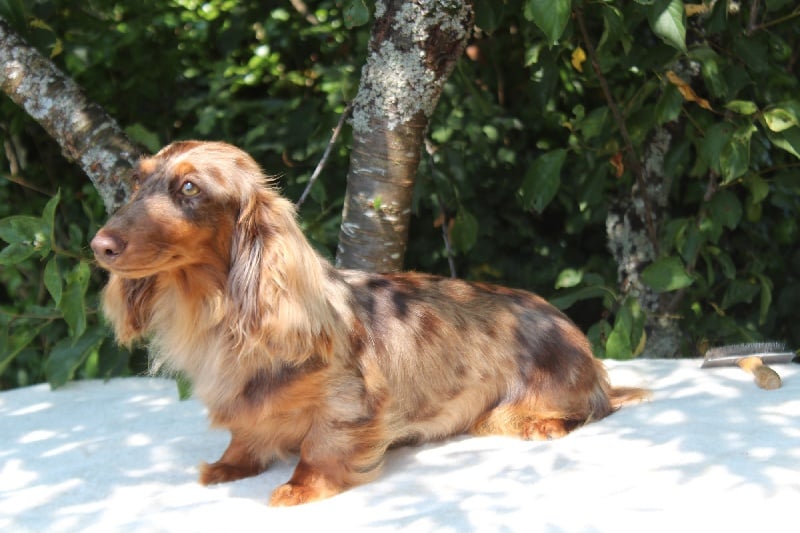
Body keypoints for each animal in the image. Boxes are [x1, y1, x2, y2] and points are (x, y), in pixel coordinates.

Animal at [90, 141, 648, 506]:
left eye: (189, 187)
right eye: (137, 180)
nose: (99, 246)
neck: (218, 312)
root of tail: (586, 354)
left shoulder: (347, 402)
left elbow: (321, 446)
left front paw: (300, 487)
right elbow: (244, 434)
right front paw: (231, 465)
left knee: (578, 413)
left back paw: (541, 422)